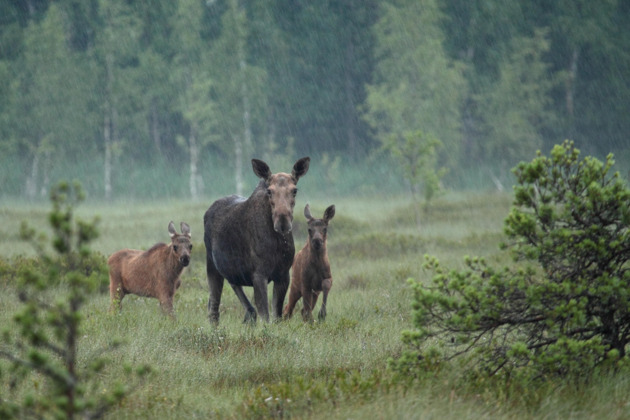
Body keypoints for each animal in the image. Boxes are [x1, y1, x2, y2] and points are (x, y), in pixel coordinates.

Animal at [205, 156, 312, 324]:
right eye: (269, 191)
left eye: (294, 190)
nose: (282, 222)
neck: (277, 242)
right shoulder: (259, 274)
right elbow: (265, 317)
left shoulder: (283, 275)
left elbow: (276, 317)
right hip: (211, 265)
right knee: (213, 309)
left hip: (231, 270)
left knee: (234, 290)